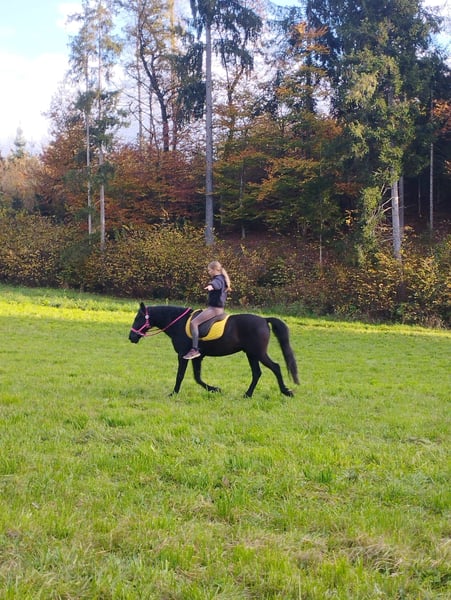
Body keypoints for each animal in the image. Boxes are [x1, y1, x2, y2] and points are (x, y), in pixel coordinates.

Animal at [129, 303, 299, 398]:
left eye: (138, 318)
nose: (131, 337)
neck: (178, 323)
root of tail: (264, 320)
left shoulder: (183, 355)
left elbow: (180, 376)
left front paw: (173, 393)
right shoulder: (196, 357)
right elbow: (197, 377)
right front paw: (215, 389)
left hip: (258, 353)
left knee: (275, 367)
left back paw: (286, 391)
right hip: (251, 354)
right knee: (257, 373)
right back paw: (248, 394)